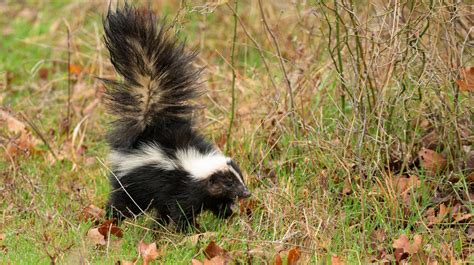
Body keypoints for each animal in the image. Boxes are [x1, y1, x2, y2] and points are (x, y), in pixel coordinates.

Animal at [103, 5, 252, 230]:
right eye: (229, 183)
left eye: (239, 178)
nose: (246, 192)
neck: (196, 167)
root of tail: (149, 129)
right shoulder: (181, 185)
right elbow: (182, 209)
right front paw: (189, 230)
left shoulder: (201, 192)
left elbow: (215, 204)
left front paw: (226, 215)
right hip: (134, 181)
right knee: (125, 202)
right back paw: (112, 219)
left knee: (157, 208)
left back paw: (156, 226)